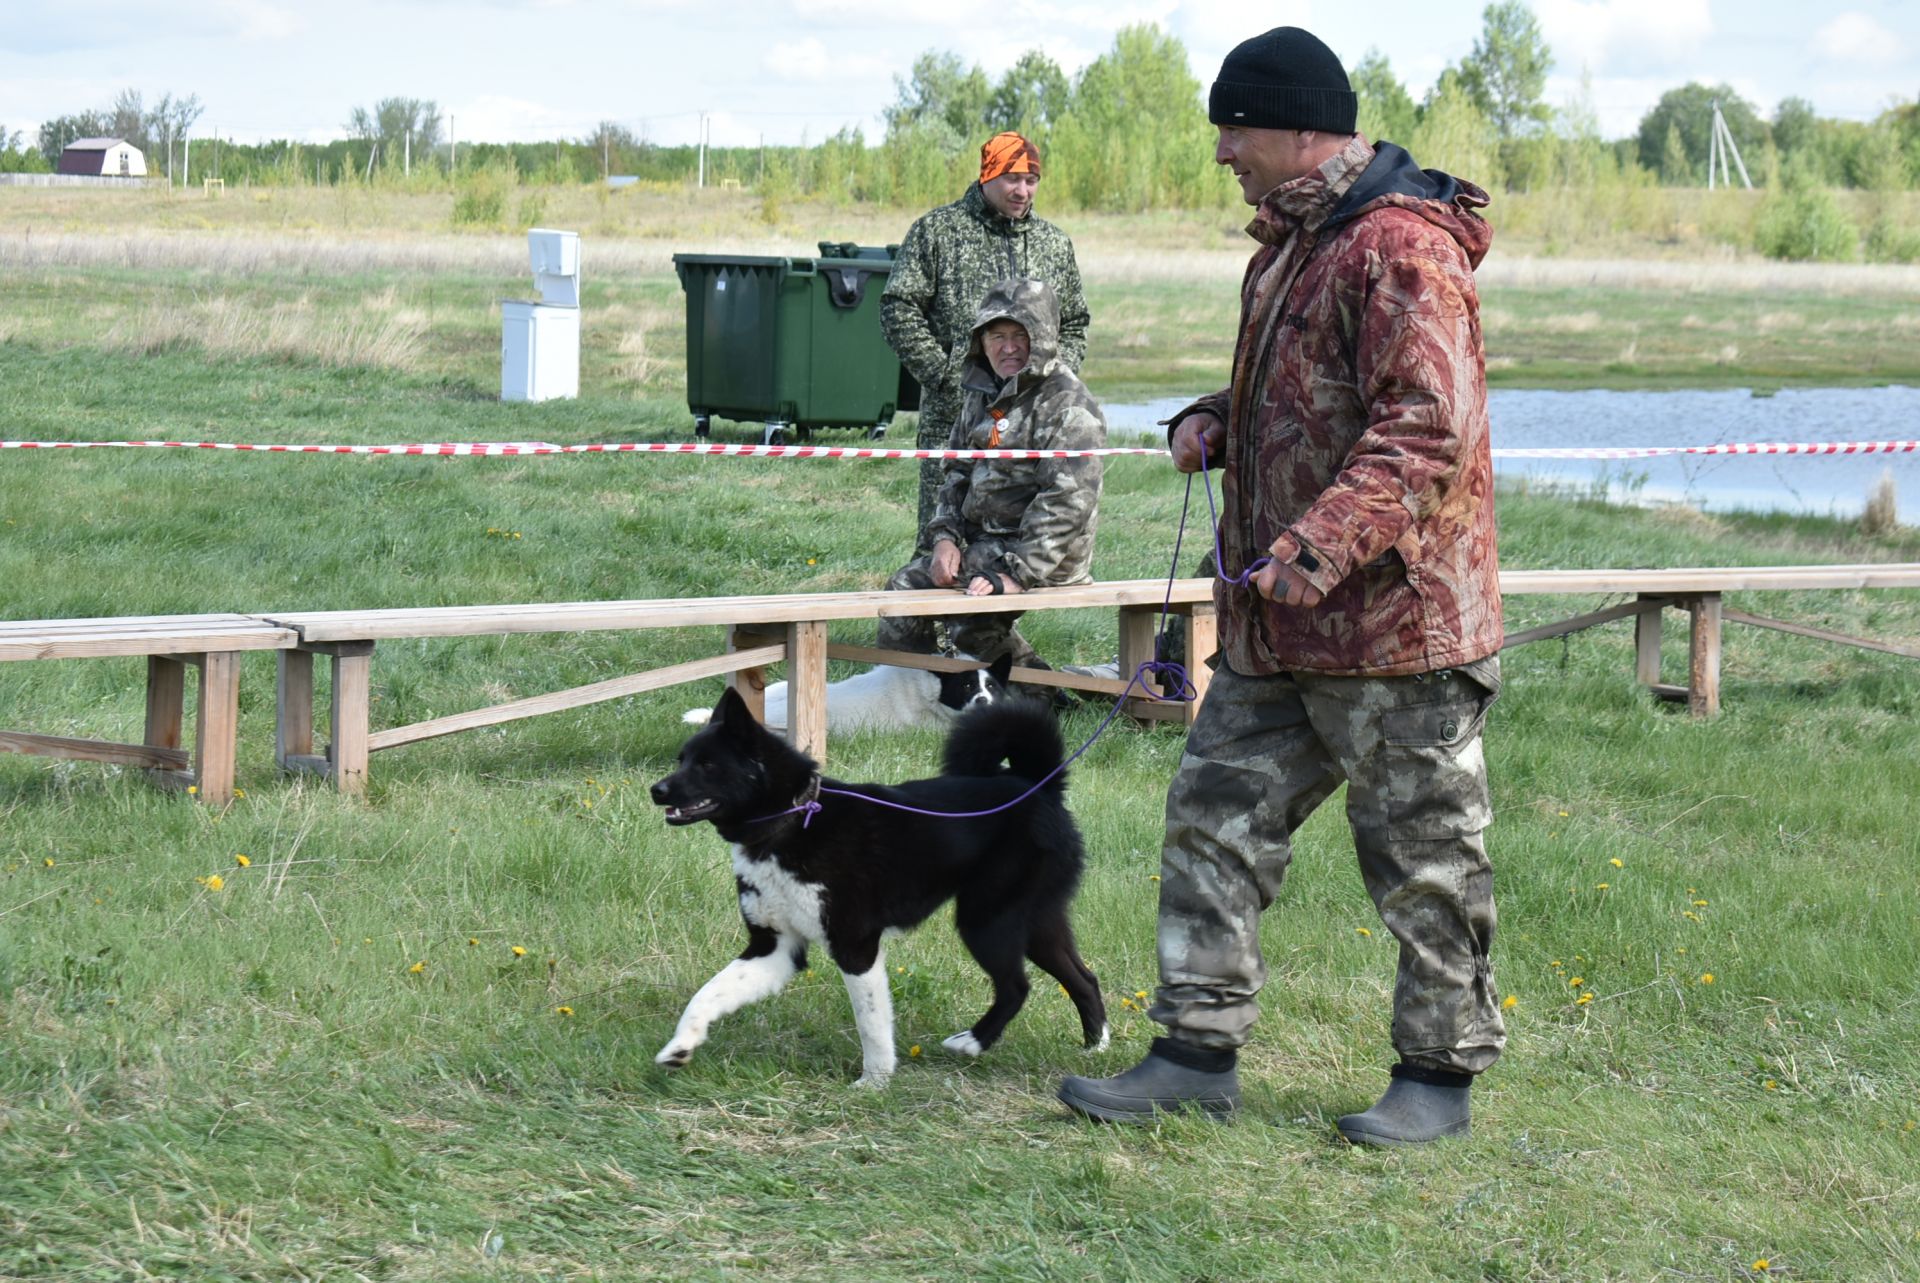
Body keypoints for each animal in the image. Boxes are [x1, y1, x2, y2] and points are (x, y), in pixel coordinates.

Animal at [652, 687, 1113, 1090]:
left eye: (707, 765)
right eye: (681, 759)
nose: (656, 790)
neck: (794, 819)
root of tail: (1038, 785)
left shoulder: (855, 946)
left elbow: (871, 1022)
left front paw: (873, 1082)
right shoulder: (775, 947)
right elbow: (707, 994)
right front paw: (680, 1046)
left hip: (986, 921)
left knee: (1017, 987)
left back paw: (973, 1042)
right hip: (1036, 922)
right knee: (1083, 979)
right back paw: (1096, 1047)